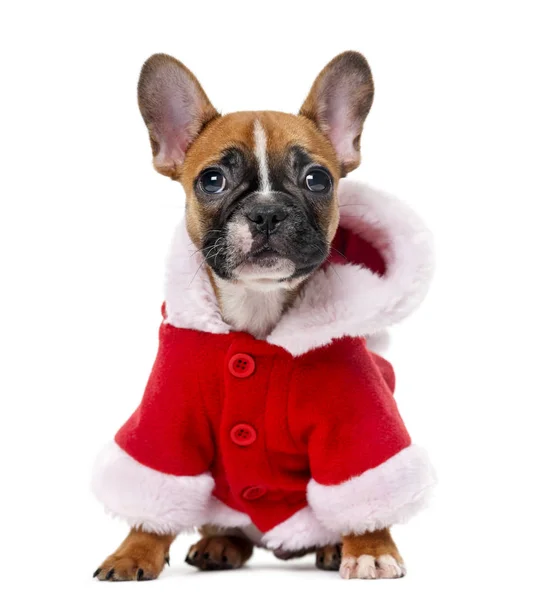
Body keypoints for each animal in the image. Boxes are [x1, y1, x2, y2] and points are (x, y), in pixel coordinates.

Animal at [93, 52, 436, 580]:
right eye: (212, 180)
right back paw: (220, 543)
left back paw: (330, 547)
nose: (267, 211)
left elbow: (367, 489)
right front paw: (134, 550)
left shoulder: (358, 420)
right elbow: (154, 486)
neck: (258, 308)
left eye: (318, 179)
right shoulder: (168, 416)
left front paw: (371, 547)